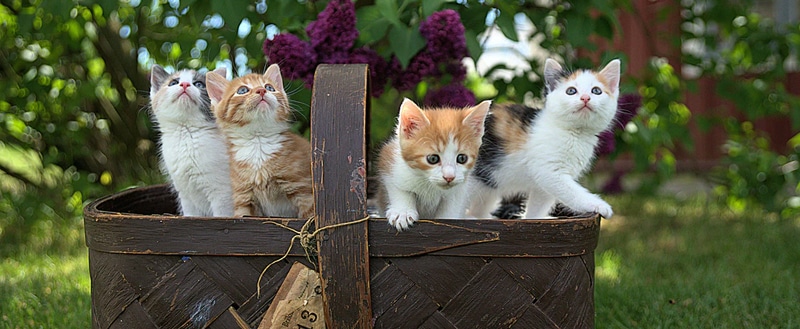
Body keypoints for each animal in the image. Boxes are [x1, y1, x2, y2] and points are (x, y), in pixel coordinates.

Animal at [148, 65, 234, 217]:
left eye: (199, 84)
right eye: (173, 82)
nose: (184, 84)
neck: (187, 134)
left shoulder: (222, 193)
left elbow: (222, 215)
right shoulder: (186, 195)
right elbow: (191, 215)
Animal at [205, 64, 314, 218]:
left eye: (269, 87)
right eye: (242, 90)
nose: (261, 90)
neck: (258, 142)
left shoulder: (303, 190)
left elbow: (310, 217)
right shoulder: (243, 198)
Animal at [378, 98, 490, 229]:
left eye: (462, 158)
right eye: (432, 159)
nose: (449, 177)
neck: (429, 184)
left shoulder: (460, 188)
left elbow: (452, 205)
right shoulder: (390, 161)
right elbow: (400, 189)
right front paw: (403, 212)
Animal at [468, 58, 620, 218]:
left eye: (596, 91)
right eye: (571, 91)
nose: (585, 98)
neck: (574, 133)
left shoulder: (542, 186)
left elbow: (538, 206)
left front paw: (532, 219)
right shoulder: (549, 172)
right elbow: (572, 192)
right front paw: (598, 205)